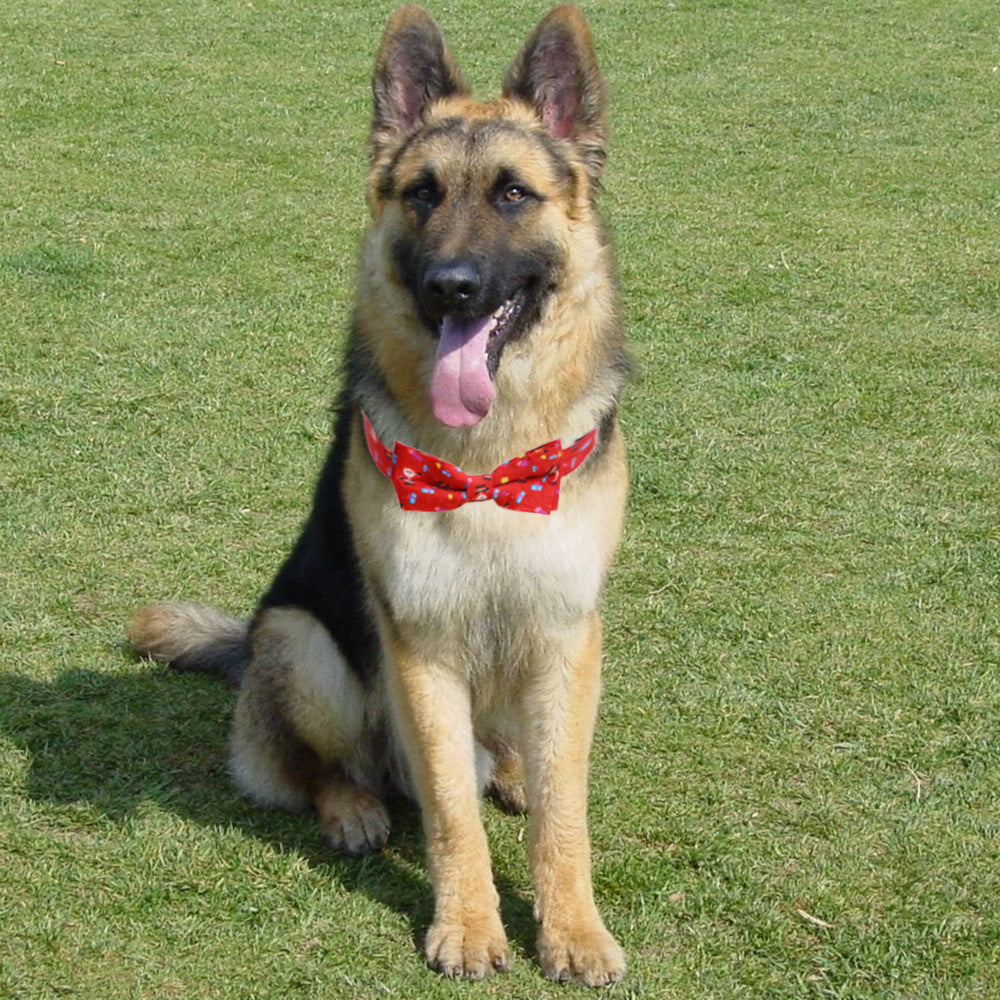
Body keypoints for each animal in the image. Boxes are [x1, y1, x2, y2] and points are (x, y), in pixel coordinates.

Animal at [130, 0, 628, 984]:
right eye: (422, 194)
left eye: (514, 195)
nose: (451, 287)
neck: (488, 466)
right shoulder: (419, 643)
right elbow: (448, 810)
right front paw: (468, 925)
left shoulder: (565, 630)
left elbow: (565, 814)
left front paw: (573, 928)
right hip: (303, 641)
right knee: (319, 768)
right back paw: (354, 807)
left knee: (511, 757)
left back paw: (512, 771)